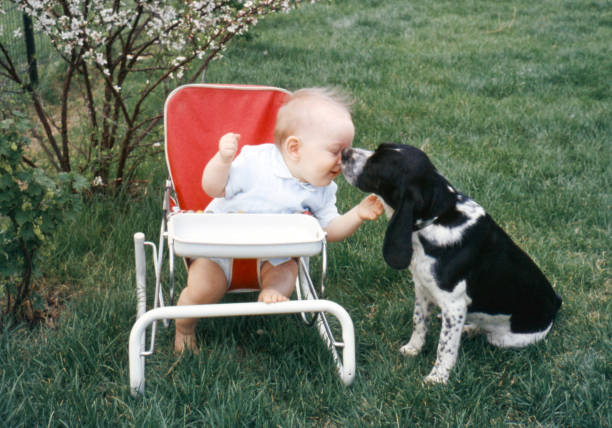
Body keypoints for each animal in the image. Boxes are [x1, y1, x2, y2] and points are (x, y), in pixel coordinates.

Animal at [342, 143, 560, 384]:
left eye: (376, 164)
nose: (343, 152)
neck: (439, 217)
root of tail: (556, 303)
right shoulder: (422, 289)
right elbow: (419, 322)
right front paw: (413, 349)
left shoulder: (454, 305)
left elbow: (444, 346)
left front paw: (437, 379)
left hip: (506, 339)